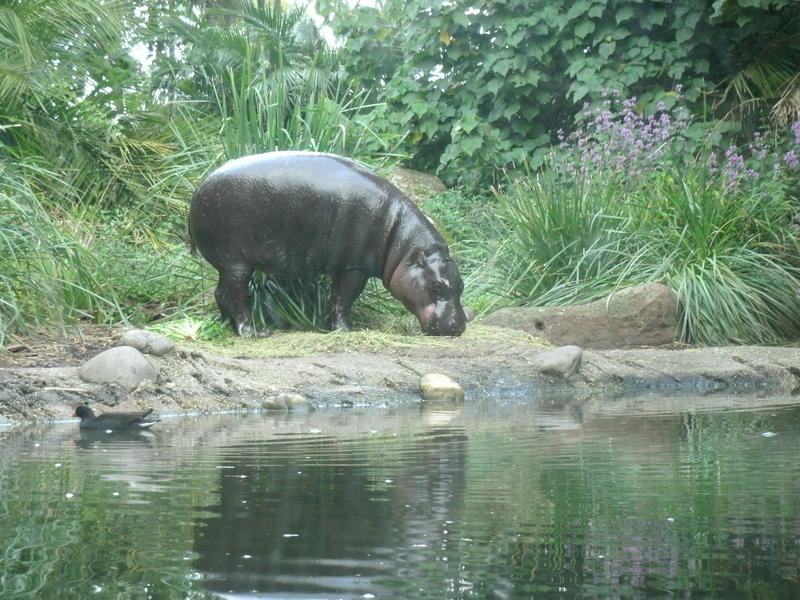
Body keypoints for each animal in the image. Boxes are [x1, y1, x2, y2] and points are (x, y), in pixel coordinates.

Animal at [188, 149, 468, 336]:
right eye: (436, 287)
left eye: (461, 285)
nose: (459, 326)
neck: (402, 245)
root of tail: (198, 188)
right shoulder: (354, 267)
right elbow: (343, 299)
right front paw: (346, 330)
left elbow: (337, 298)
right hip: (236, 262)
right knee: (238, 296)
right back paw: (254, 332)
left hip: (227, 264)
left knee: (220, 293)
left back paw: (227, 326)